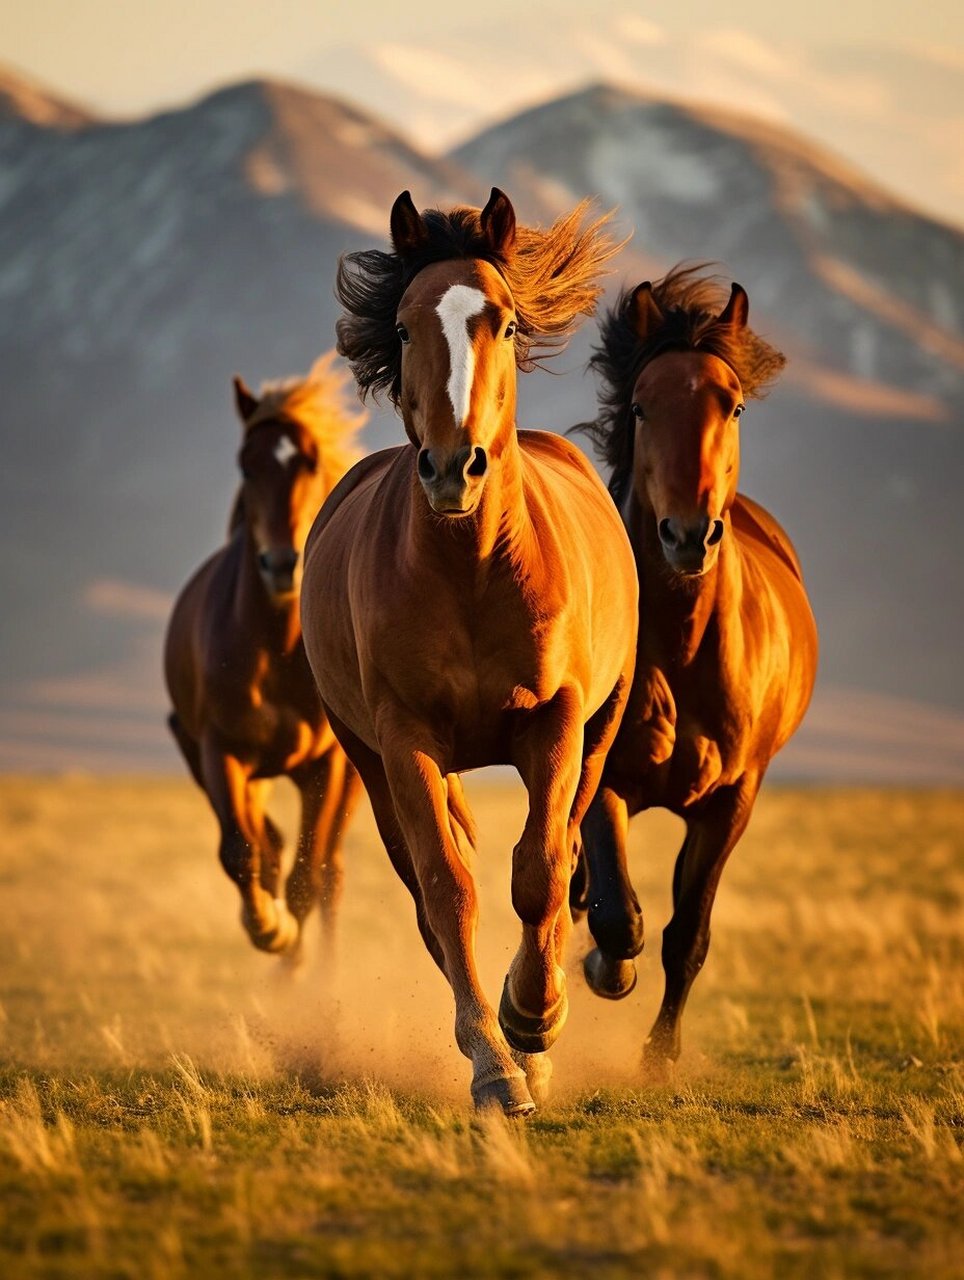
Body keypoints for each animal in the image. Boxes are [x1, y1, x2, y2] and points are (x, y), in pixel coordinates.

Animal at [164, 354, 364, 963]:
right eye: (246, 466)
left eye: (310, 460)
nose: (281, 564)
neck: (275, 648)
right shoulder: (219, 752)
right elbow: (241, 850)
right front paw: (268, 928)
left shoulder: (327, 766)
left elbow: (307, 876)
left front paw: (289, 948)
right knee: (268, 846)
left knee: (330, 872)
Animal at [300, 188, 639, 1115]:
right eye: (405, 326)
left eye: (508, 322)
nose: (455, 469)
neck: (474, 569)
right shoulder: (405, 739)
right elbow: (450, 890)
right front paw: (494, 1064)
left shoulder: (555, 722)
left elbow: (541, 870)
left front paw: (534, 1021)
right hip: (367, 761)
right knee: (427, 890)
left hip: (597, 734)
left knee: (563, 854)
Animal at [574, 265, 818, 1073]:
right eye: (641, 407)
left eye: (732, 404)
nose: (687, 535)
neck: (682, 652)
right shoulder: (605, 776)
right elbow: (618, 914)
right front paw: (606, 968)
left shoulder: (731, 802)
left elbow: (689, 933)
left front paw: (659, 1056)